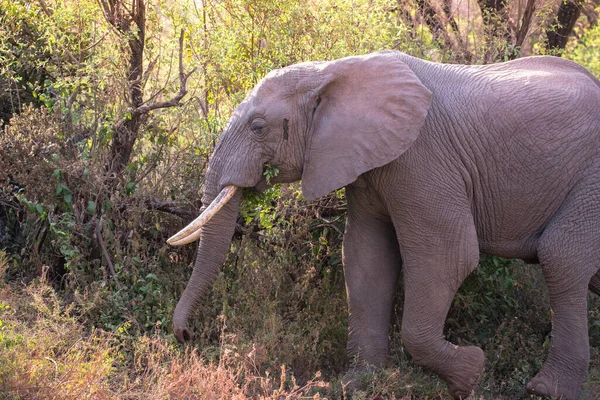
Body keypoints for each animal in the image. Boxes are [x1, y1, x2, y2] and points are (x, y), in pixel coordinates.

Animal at [166, 52, 600, 400]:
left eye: (258, 127)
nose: (187, 337)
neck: (333, 69)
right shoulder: (366, 164)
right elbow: (365, 257)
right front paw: (357, 383)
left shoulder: (422, 158)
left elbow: (449, 256)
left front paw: (469, 374)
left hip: (592, 183)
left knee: (561, 257)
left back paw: (545, 391)